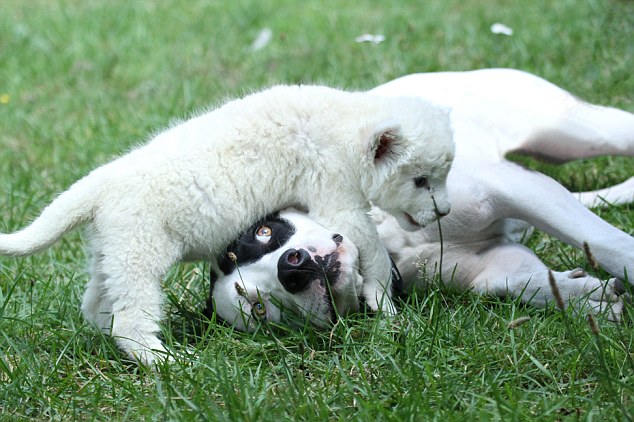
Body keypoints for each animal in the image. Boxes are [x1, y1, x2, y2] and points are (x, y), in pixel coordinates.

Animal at [0, 85, 454, 362]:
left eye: (443, 174)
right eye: (420, 180)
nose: (445, 212)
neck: (344, 123)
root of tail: (97, 186)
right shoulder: (336, 195)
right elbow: (371, 250)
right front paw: (385, 306)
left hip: (111, 255)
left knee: (97, 306)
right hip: (139, 254)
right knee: (129, 323)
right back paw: (171, 362)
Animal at [205, 68, 628, 330]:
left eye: (262, 231)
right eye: (260, 308)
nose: (291, 268)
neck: (391, 242)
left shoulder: (515, 188)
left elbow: (610, 244)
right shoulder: (492, 264)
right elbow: (526, 283)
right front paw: (583, 295)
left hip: (575, 132)